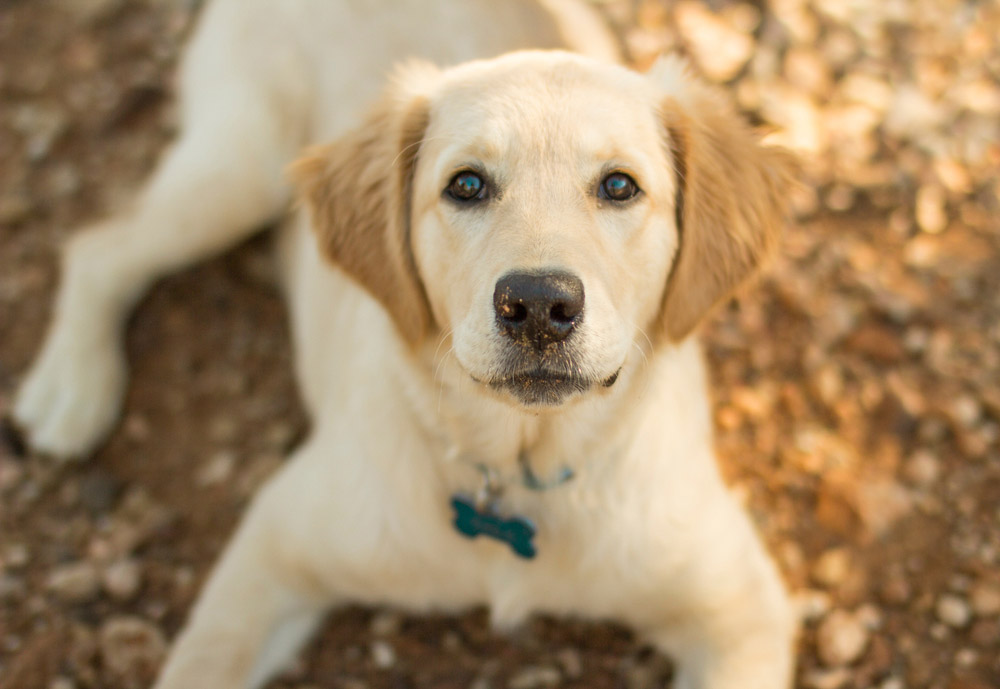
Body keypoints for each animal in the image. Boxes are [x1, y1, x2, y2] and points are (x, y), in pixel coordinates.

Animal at [11, 1, 796, 688]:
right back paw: (71, 387)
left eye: (620, 186)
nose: (539, 305)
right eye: (467, 185)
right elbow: (202, 663)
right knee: (99, 246)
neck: (519, 470)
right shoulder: (273, 543)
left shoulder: (743, 608)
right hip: (241, 166)